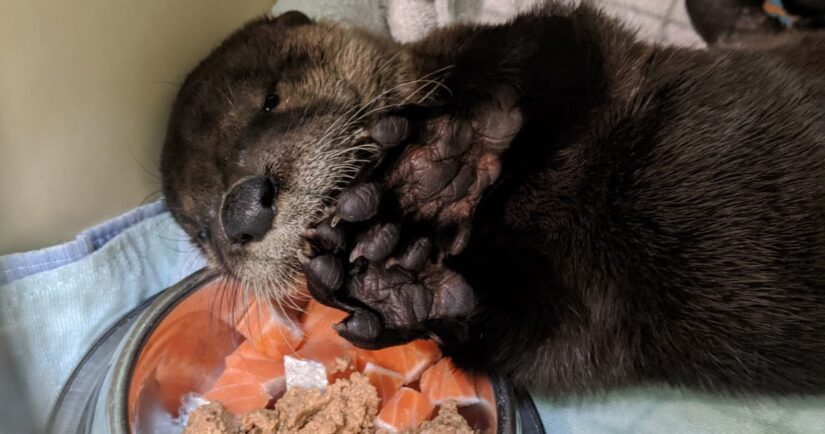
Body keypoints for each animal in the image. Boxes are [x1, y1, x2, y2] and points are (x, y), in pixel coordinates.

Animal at [161, 4, 824, 396]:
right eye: (200, 231)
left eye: (271, 99)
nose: (241, 210)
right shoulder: (590, 326)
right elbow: (540, 338)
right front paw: (395, 279)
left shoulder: (571, 44)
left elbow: (554, 56)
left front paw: (438, 166)